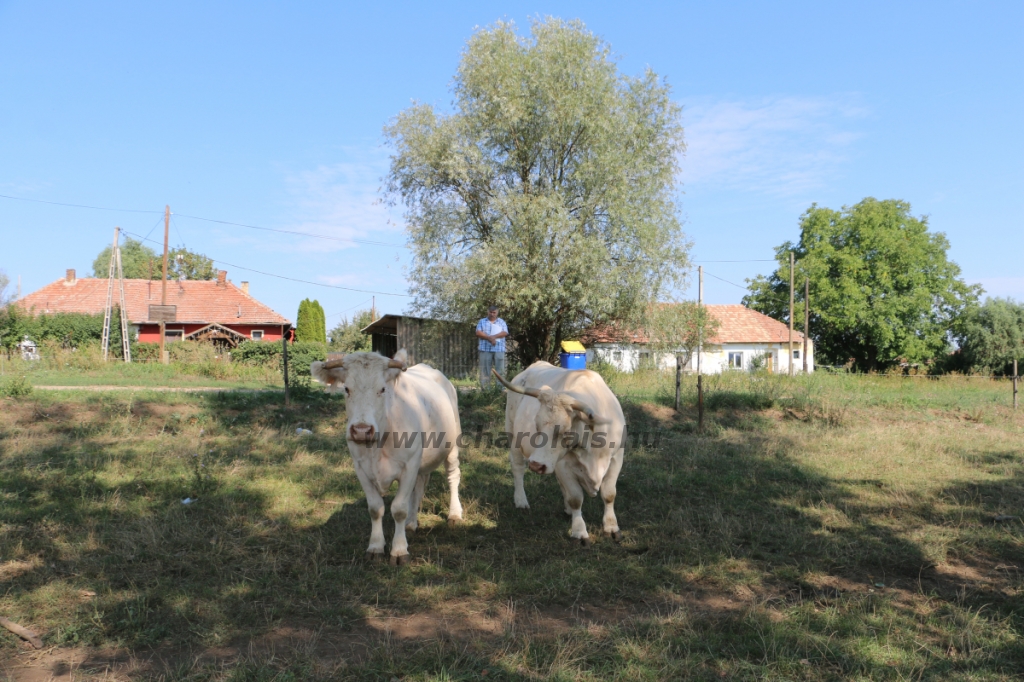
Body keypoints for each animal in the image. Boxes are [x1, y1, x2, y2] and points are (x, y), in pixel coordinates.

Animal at [307, 348, 460, 565]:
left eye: (382, 389)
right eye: (346, 389)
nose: (361, 430)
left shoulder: (409, 465)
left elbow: (399, 509)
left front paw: (399, 550)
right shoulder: (361, 468)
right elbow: (375, 508)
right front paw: (376, 547)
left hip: (453, 445)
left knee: (452, 476)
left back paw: (455, 514)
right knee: (420, 485)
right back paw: (411, 523)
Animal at [493, 364, 626, 544]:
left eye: (565, 431)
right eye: (537, 425)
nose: (536, 465)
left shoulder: (617, 457)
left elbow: (609, 494)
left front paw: (611, 527)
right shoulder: (563, 464)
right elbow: (576, 498)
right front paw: (579, 531)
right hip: (513, 435)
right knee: (518, 468)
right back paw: (521, 500)